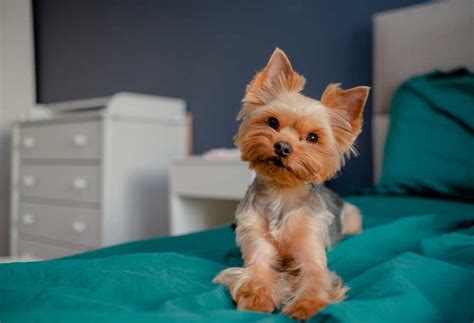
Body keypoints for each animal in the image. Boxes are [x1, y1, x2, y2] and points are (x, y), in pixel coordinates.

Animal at [213, 48, 368, 322]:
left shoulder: (312, 250)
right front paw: (257, 298)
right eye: (272, 122)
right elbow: (258, 271)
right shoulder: (256, 242)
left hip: (352, 216)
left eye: (313, 138)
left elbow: (316, 279)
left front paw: (306, 306)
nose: (283, 147)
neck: (281, 193)